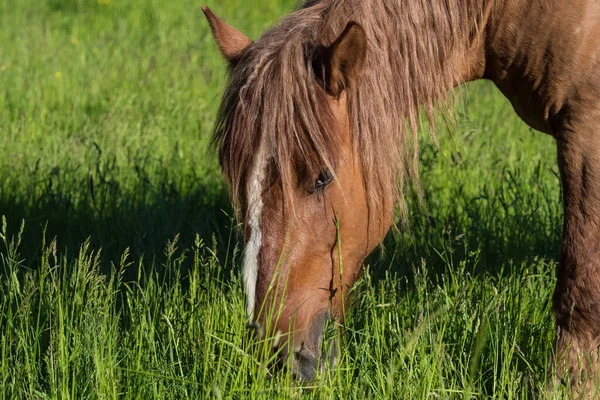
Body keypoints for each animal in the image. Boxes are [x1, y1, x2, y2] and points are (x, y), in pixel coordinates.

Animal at [202, 0, 600, 390]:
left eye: (321, 178)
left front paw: (568, 386)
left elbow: (580, 285)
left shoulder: (586, 134)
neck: (507, 12)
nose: (275, 356)